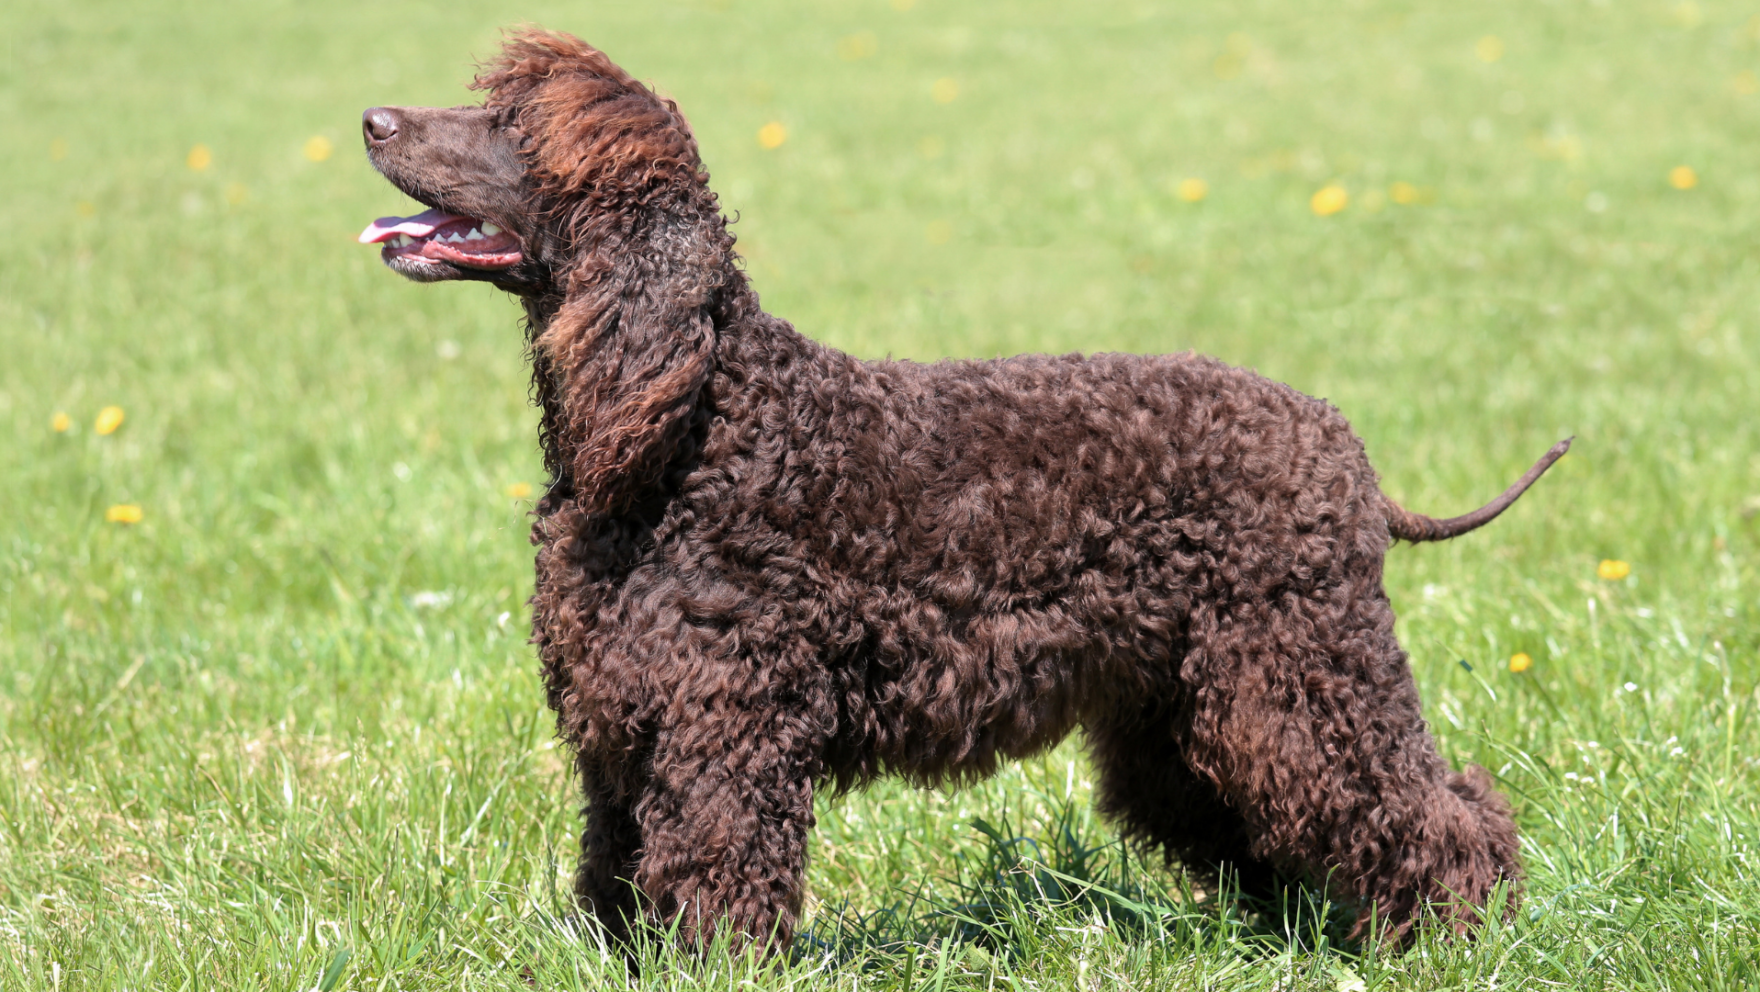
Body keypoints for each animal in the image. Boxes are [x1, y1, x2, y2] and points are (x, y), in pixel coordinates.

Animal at [357, 27, 1569, 949]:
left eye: (514, 129)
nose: (370, 118)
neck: (695, 426)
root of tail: (1344, 448)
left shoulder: (725, 723)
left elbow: (712, 869)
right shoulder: (622, 722)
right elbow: (616, 870)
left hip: (1300, 668)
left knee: (1432, 810)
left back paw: (1457, 937)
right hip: (1183, 712)